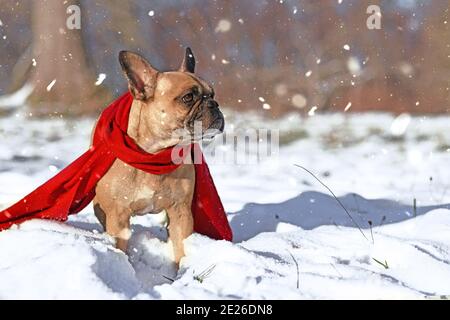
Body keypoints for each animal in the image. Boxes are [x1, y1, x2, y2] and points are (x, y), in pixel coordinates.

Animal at [92, 48, 225, 264]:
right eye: (188, 97)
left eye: (212, 94)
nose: (214, 104)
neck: (155, 154)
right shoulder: (118, 216)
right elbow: (120, 246)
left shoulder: (181, 213)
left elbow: (181, 249)